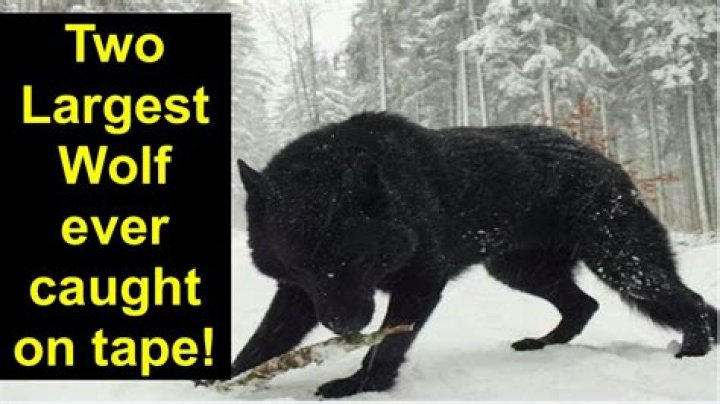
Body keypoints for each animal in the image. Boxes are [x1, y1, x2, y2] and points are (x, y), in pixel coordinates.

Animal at [230, 113, 716, 398]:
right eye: (303, 267)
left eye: (359, 259)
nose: (343, 327)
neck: (398, 198)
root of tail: (603, 159)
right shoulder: (300, 296)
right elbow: (261, 342)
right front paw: (222, 381)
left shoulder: (419, 285)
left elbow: (387, 344)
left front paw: (362, 384)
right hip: (518, 270)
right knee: (583, 304)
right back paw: (543, 343)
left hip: (624, 265)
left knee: (692, 302)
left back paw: (694, 350)